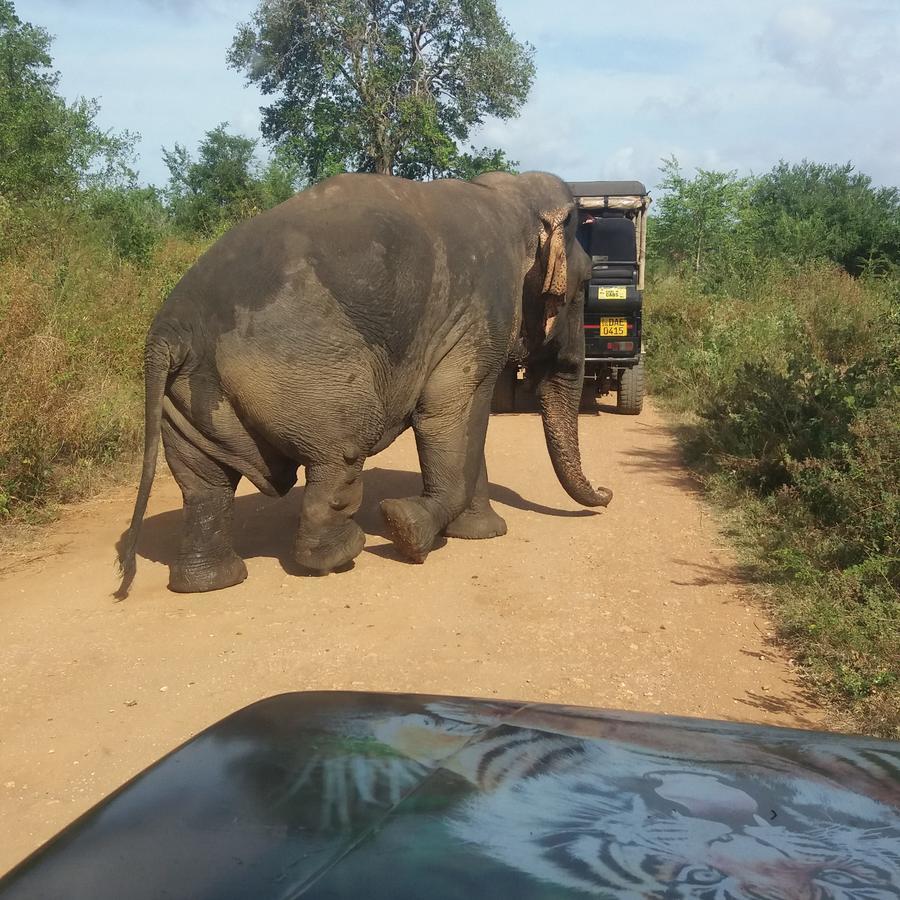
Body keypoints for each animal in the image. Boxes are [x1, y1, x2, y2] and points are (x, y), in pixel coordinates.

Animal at [116, 172, 612, 600]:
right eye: (585, 284)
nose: (607, 494)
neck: (508, 197)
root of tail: (171, 330)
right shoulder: (480, 312)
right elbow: (450, 415)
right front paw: (406, 527)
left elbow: (463, 420)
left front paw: (479, 533)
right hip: (303, 370)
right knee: (340, 454)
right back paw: (341, 554)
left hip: (189, 394)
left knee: (204, 484)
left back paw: (209, 582)